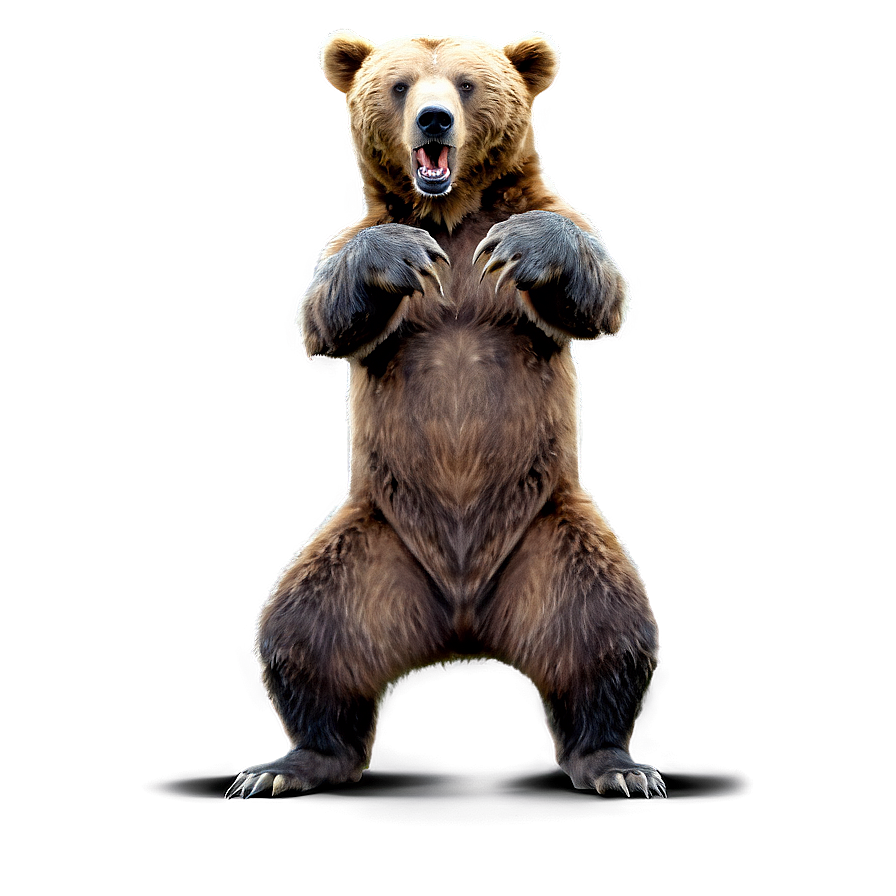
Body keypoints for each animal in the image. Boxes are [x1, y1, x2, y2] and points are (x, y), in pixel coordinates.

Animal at [226, 30, 663, 799]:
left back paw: (616, 763)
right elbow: (322, 316)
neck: (453, 212)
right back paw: (289, 765)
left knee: (606, 631)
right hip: (371, 550)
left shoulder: (545, 224)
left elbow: (601, 290)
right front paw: (401, 255)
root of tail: (463, 623)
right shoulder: (354, 241)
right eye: (399, 85)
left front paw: (526, 245)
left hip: (552, 537)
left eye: (465, 83)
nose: (433, 120)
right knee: (302, 633)